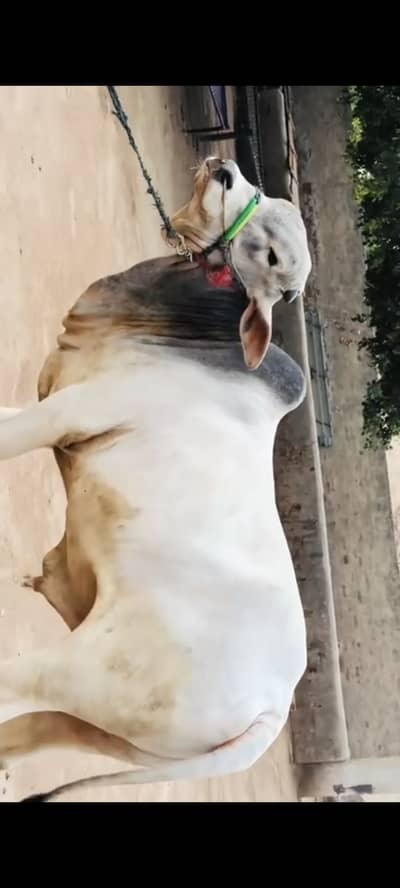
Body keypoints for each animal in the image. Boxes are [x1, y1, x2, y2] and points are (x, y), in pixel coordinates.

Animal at [0, 157, 311, 801]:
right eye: (267, 201)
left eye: (274, 255)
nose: (226, 169)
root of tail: (271, 712)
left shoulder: (67, 413)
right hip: (111, 732)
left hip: (84, 672)